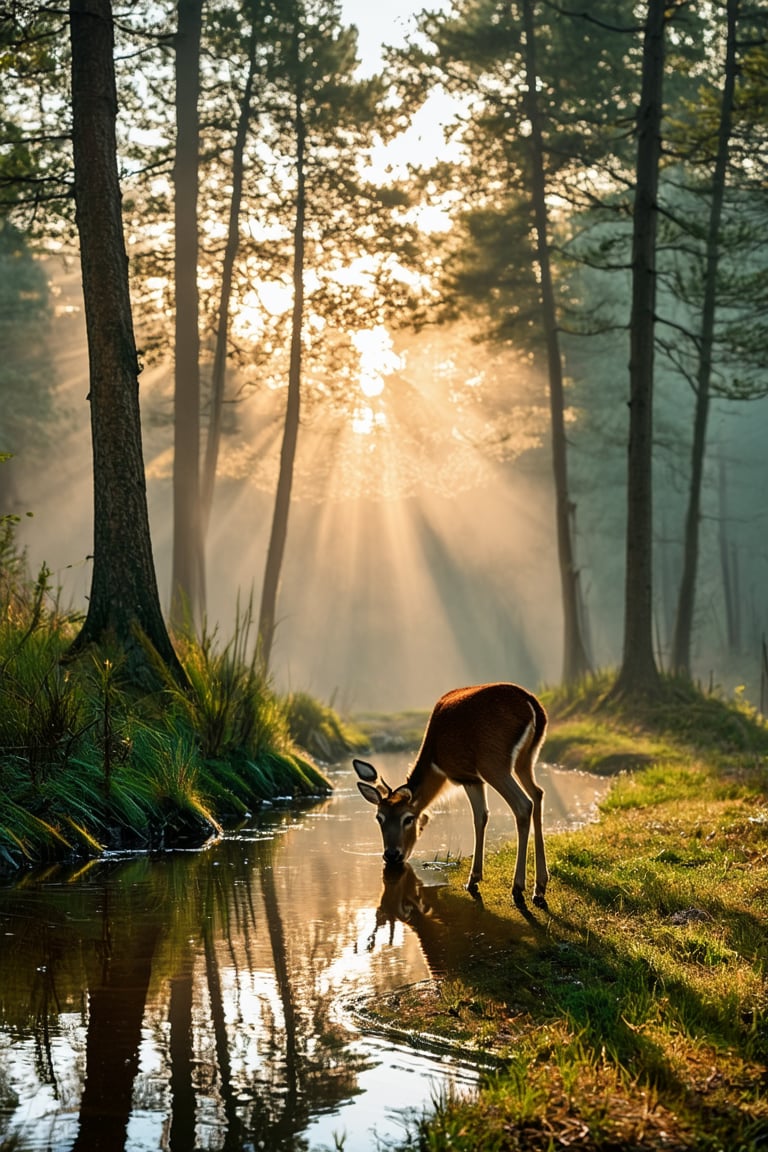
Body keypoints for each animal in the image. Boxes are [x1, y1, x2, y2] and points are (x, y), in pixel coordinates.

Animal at [356, 681, 550, 907]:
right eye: (379, 818)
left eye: (408, 818)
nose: (392, 855)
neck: (435, 759)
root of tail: (532, 705)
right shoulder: (475, 779)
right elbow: (482, 816)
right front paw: (475, 878)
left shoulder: (466, 776)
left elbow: (479, 816)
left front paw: (472, 880)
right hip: (525, 760)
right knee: (538, 794)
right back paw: (540, 888)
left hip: (494, 762)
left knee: (523, 804)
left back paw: (518, 888)